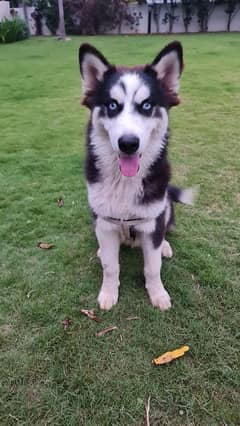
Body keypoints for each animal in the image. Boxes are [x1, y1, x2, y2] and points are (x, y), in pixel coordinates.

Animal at [79, 41, 193, 312]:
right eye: (112, 105)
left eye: (147, 105)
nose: (128, 143)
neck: (124, 182)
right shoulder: (104, 222)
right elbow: (110, 266)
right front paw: (109, 293)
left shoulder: (152, 221)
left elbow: (153, 267)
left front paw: (158, 293)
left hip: (166, 206)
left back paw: (164, 246)